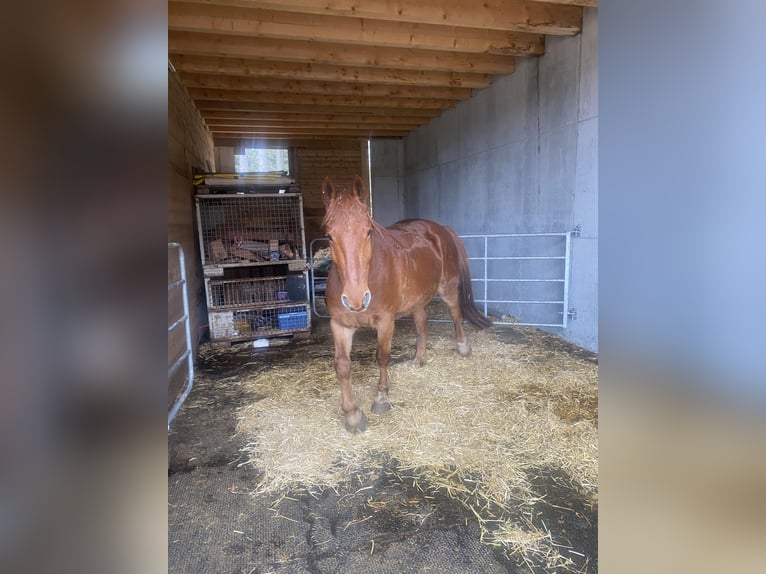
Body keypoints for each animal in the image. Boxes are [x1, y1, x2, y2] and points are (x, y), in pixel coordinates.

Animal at [322, 178, 492, 434]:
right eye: (330, 235)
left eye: (368, 231)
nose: (355, 299)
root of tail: (440, 228)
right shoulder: (340, 325)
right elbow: (342, 366)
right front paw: (352, 415)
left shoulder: (385, 322)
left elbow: (382, 357)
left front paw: (382, 398)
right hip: (417, 298)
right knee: (421, 322)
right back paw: (419, 359)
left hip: (448, 288)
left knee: (455, 313)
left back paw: (463, 347)